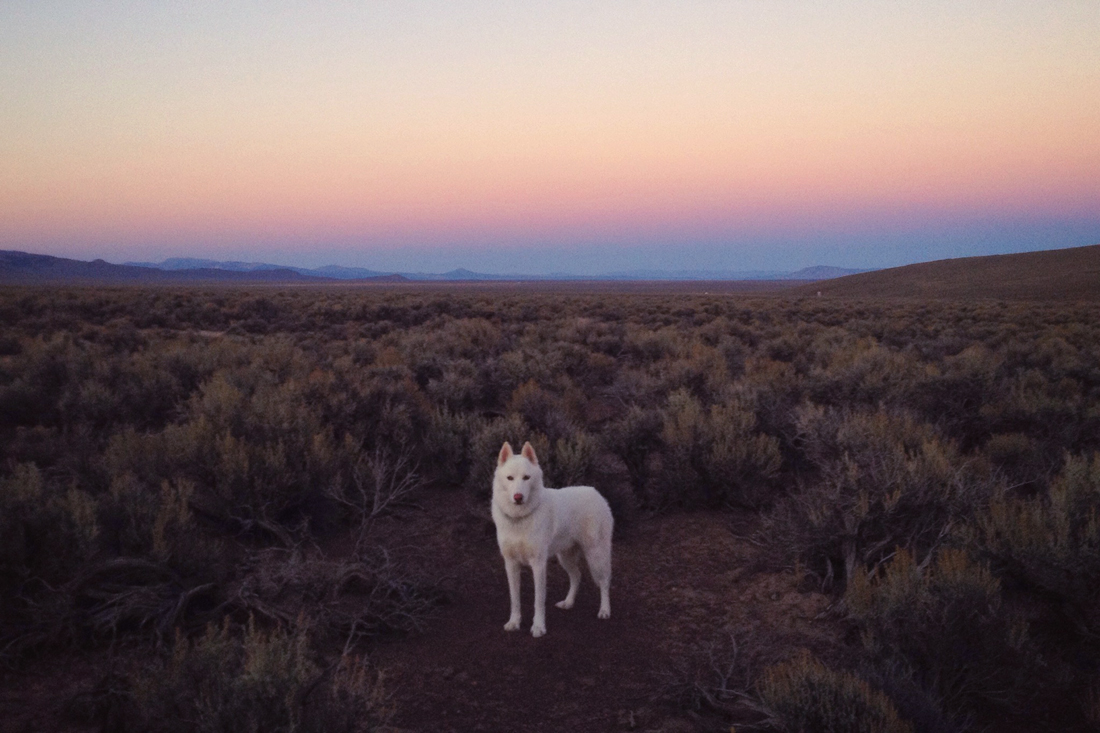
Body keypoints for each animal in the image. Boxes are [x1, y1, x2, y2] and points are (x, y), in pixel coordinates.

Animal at [491, 441, 613, 637]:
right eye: (510, 478)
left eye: (526, 478)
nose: (518, 497)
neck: (519, 519)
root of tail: (597, 493)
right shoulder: (511, 564)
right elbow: (514, 599)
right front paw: (514, 622)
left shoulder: (538, 564)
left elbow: (538, 600)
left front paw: (538, 627)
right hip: (565, 557)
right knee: (577, 576)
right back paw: (568, 602)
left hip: (596, 555)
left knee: (604, 582)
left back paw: (604, 610)